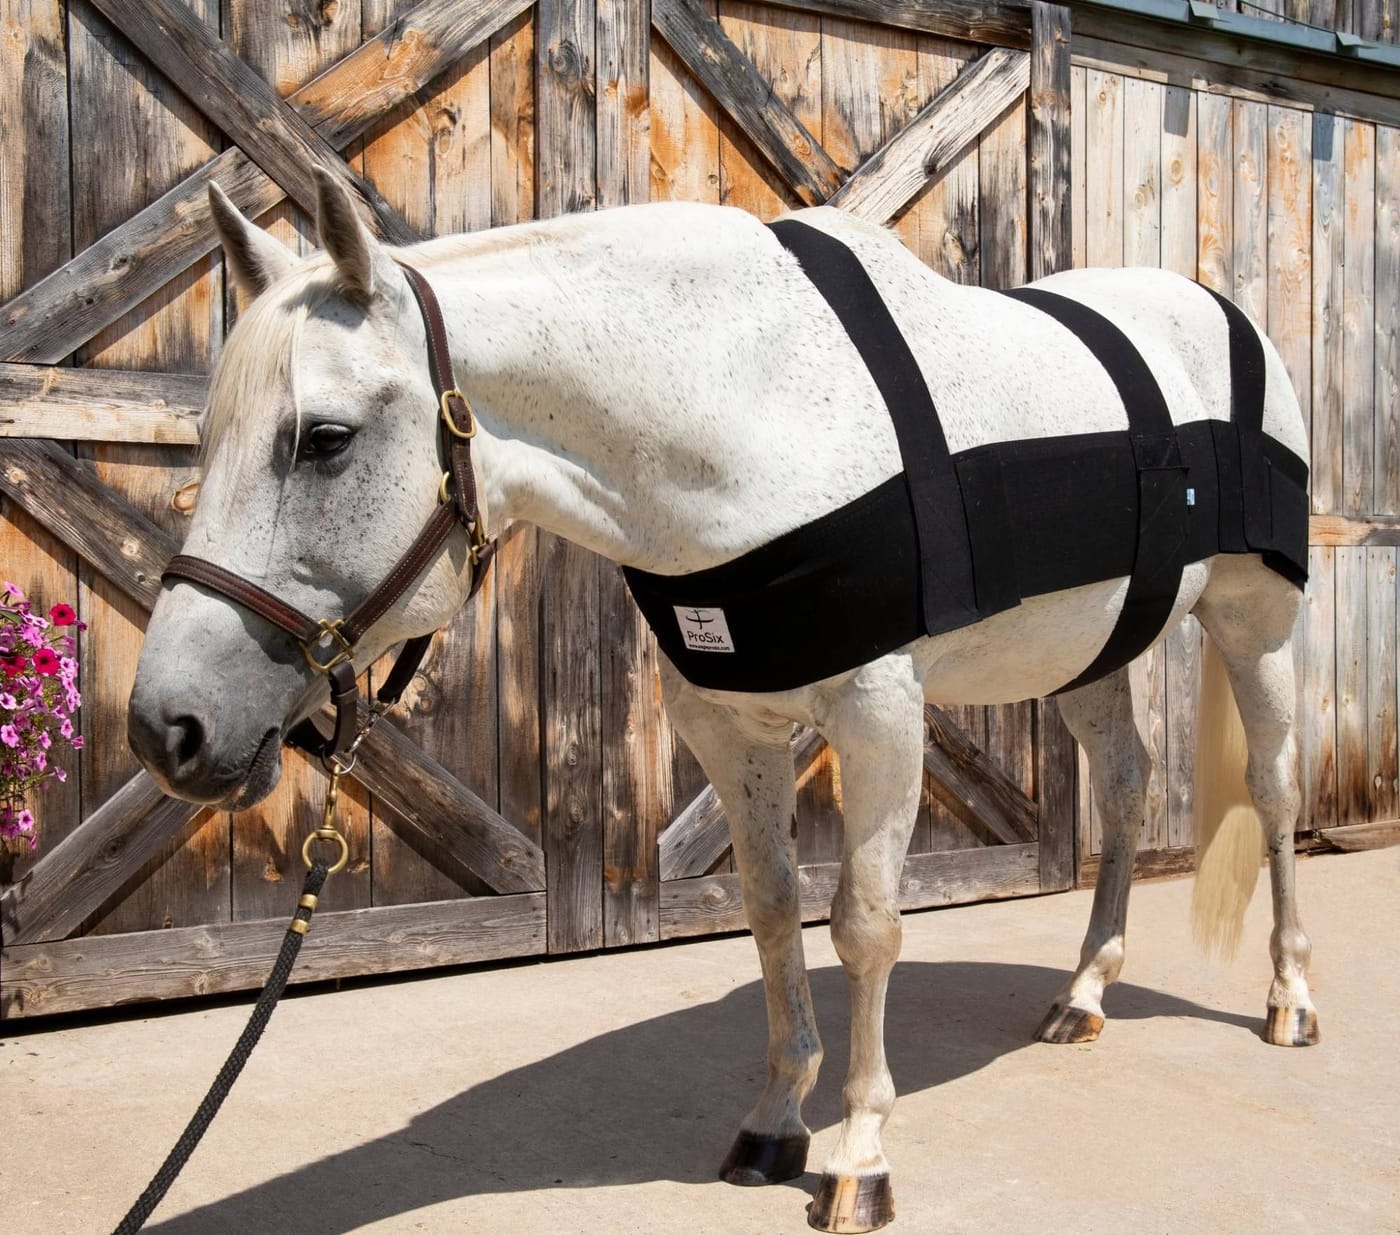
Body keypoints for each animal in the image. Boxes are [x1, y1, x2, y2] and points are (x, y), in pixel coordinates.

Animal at [126, 166, 1318, 1234]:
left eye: (323, 438)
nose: (166, 728)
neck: (752, 401)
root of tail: (1228, 324)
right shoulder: (727, 726)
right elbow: (772, 911)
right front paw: (776, 1120)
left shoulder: (878, 716)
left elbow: (866, 925)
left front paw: (860, 1155)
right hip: (1089, 652)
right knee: (1123, 787)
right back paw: (1084, 994)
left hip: (1253, 623)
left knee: (1271, 789)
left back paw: (1288, 1000)